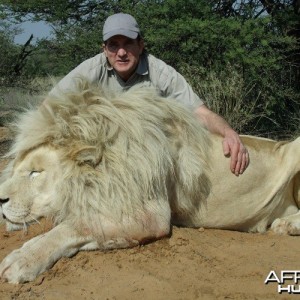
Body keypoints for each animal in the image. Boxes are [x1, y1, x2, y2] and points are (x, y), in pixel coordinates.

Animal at [0, 83, 298, 282]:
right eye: (18, 169)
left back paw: (285, 225)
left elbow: (73, 226)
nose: (0, 198)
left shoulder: (149, 214)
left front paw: (21, 260)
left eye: (36, 172)